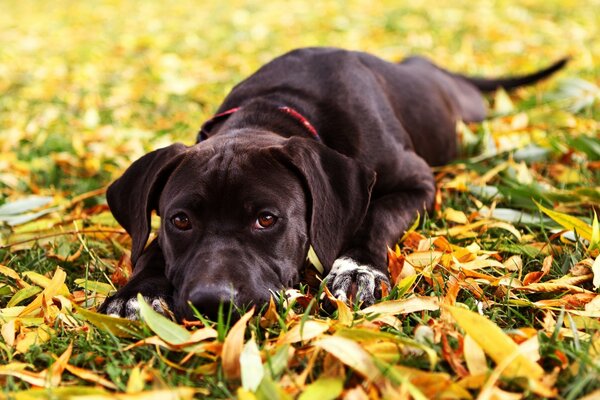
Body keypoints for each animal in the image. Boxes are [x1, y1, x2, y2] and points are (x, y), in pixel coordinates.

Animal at [99, 47, 568, 320]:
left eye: (266, 219)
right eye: (180, 221)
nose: (212, 302)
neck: (275, 107)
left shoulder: (417, 182)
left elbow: (374, 215)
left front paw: (356, 267)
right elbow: (151, 248)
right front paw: (136, 293)